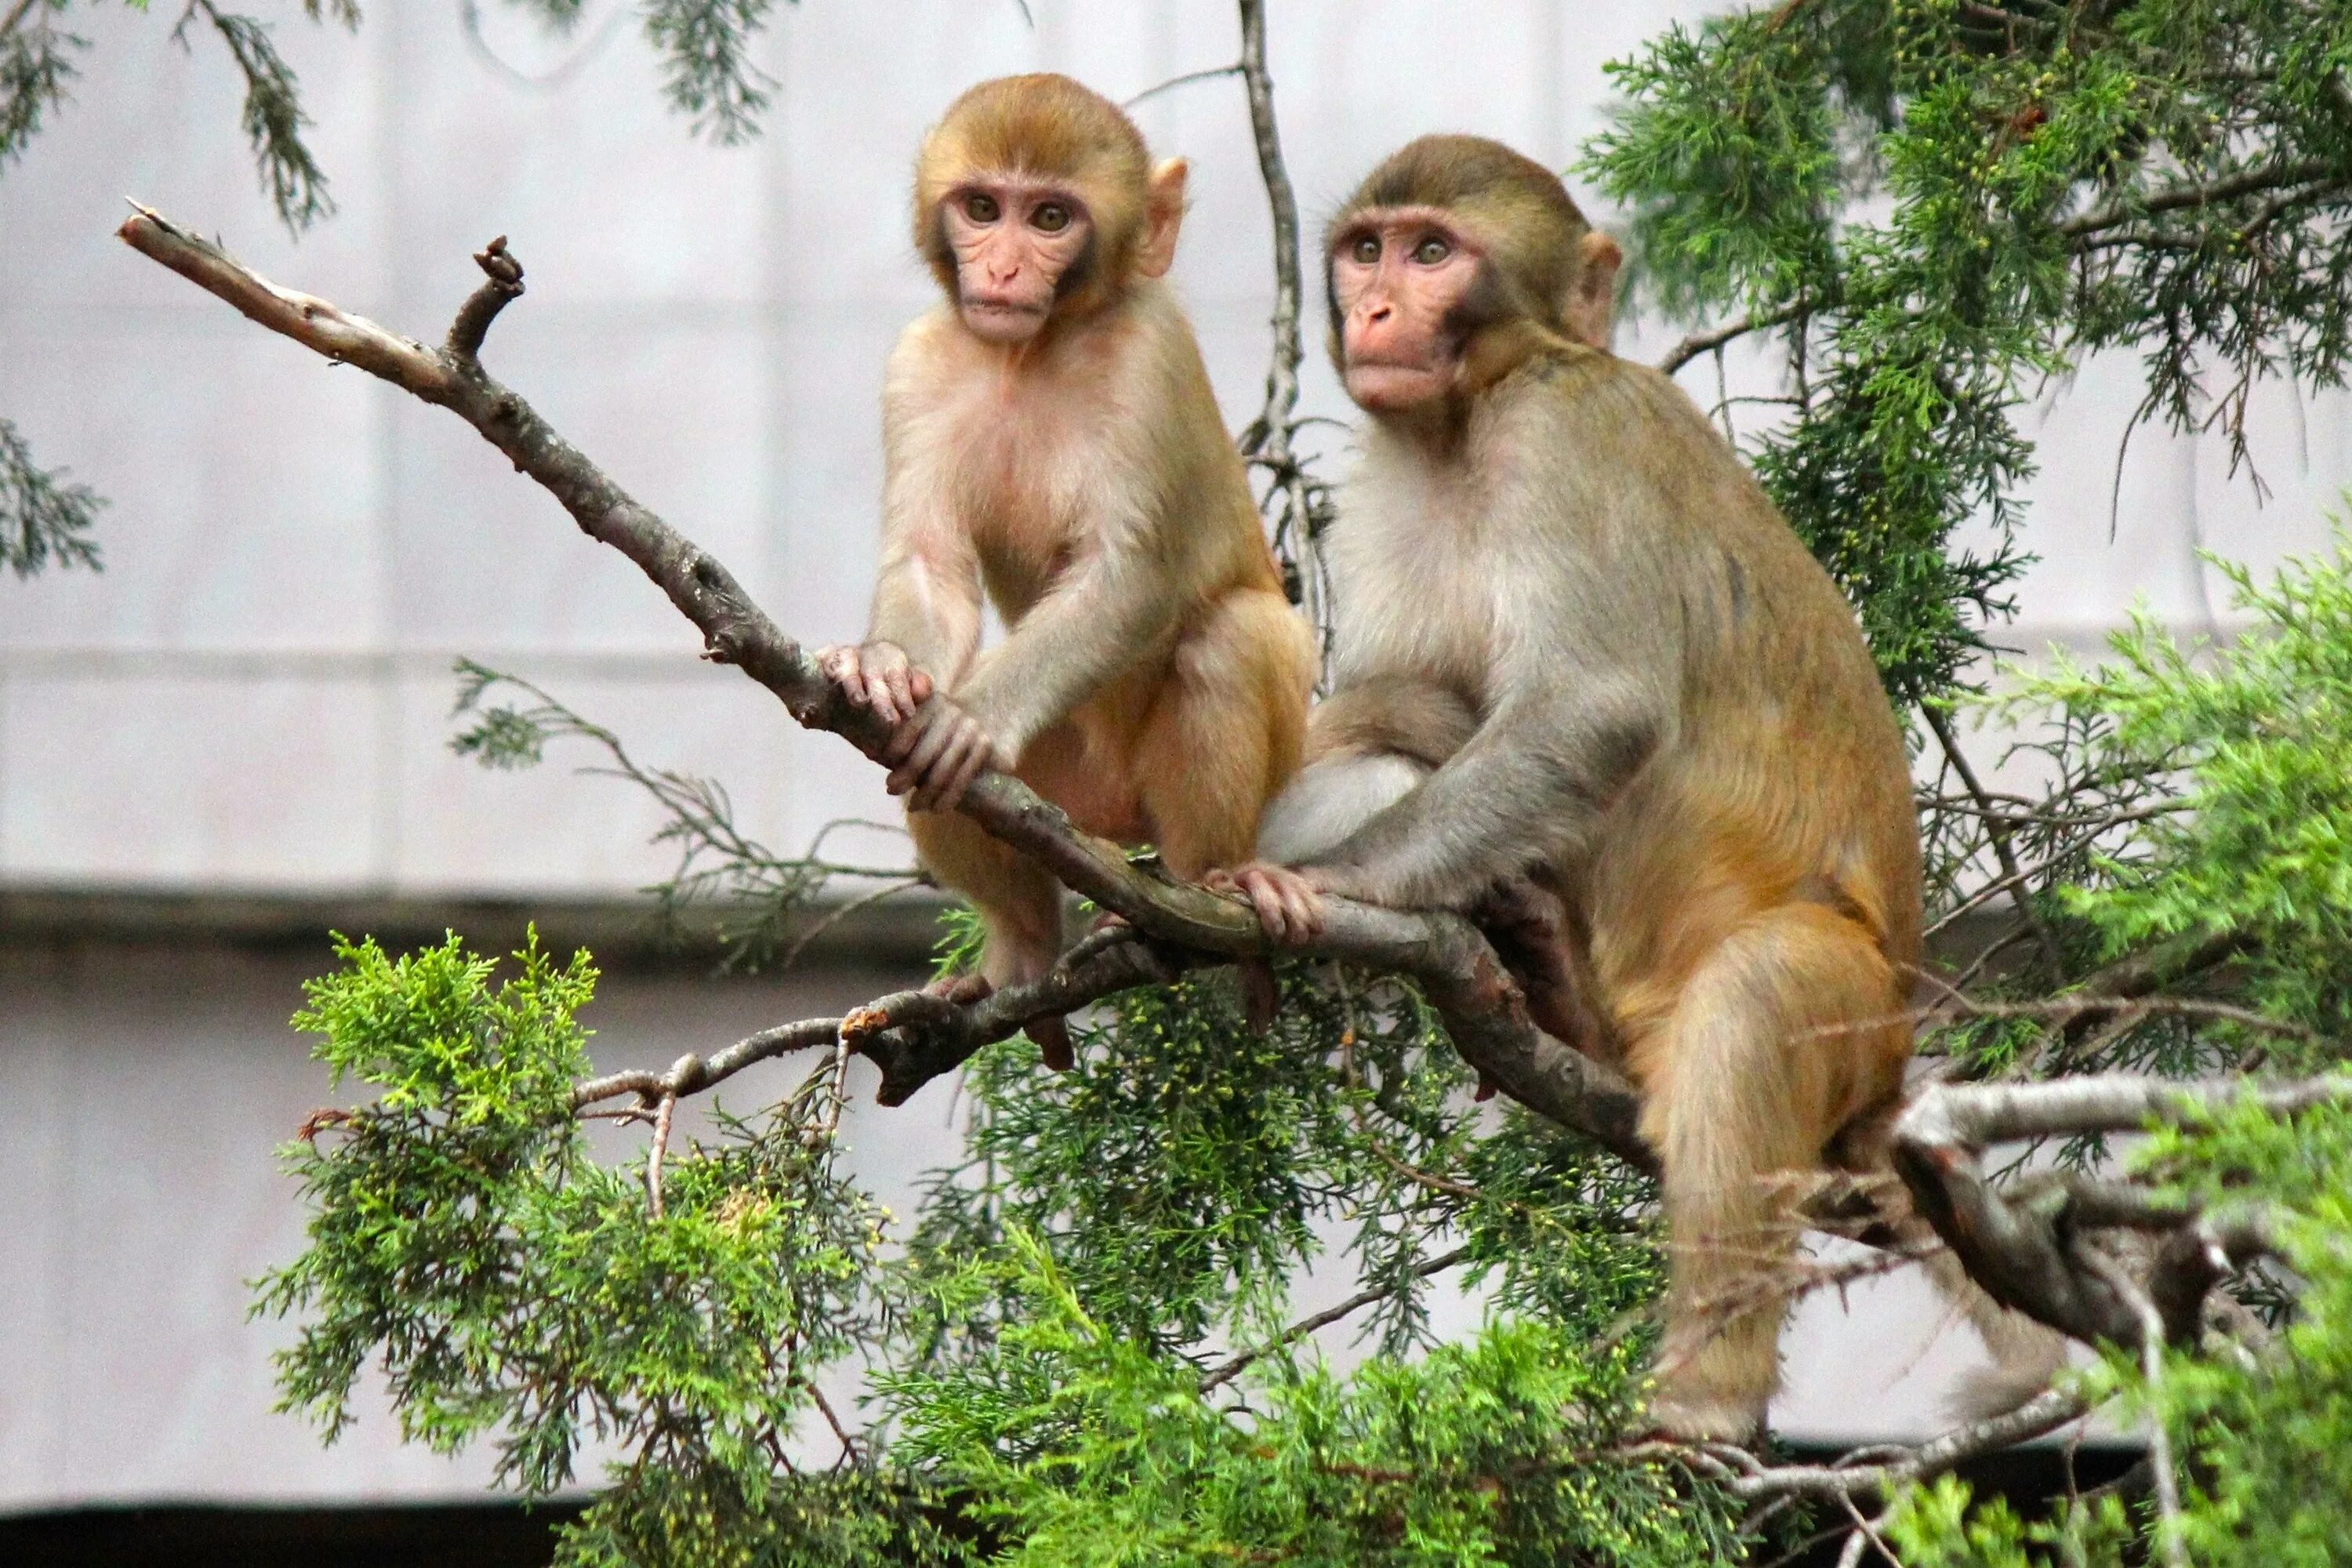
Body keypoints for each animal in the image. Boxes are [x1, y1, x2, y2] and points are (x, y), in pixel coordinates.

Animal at [818, 67, 1317, 1062]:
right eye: (983, 208)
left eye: (1050, 217)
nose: (1004, 270)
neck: (1032, 351)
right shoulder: (920, 363)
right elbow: (930, 569)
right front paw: (888, 669)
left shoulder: (1149, 362)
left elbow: (1132, 579)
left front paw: (971, 722)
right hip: (1068, 784)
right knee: (925, 766)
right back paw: (1023, 950)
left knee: (1234, 638)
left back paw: (1220, 891)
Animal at [1214, 138, 1929, 1448]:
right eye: (1367, 250)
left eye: (1432, 251)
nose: (1375, 310)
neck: (1472, 415)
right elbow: (1394, 711)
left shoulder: (1568, 435)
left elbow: (1594, 709)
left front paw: (1313, 884)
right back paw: (1541, 965)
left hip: (1854, 1022)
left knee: (1756, 1003)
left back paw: (1706, 1396)